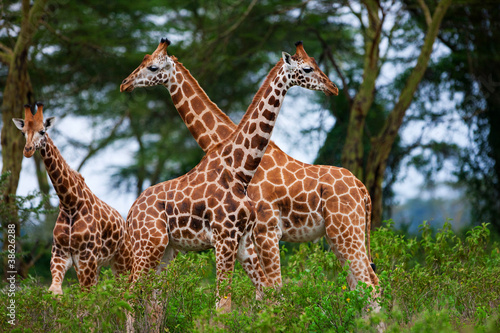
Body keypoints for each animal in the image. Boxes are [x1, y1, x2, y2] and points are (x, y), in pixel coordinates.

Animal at [12, 104, 132, 294]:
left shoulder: (86, 257)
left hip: (122, 261)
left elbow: (86, 296)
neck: (70, 203)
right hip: (100, 264)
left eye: (42, 131)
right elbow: (55, 291)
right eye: (23, 132)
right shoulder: (61, 255)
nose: (28, 150)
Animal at [122, 39, 378, 294]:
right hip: (339, 235)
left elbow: (270, 288)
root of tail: (363, 190)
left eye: (152, 67)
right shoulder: (256, 234)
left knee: (369, 282)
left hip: (345, 230)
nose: (125, 83)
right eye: (144, 61)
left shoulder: (265, 230)